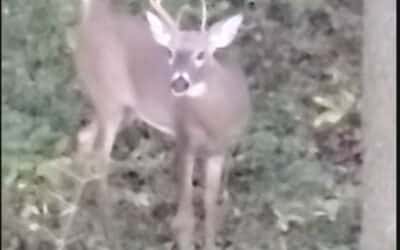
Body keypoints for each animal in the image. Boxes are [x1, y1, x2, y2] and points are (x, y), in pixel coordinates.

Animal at [74, 0, 250, 249]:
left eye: (201, 54)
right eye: (170, 52)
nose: (179, 83)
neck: (218, 120)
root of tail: (89, 21)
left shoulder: (220, 149)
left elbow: (210, 206)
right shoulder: (184, 138)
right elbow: (185, 217)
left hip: (125, 109)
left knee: (84, 135)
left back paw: (79, 204)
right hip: (108, 98)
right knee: (101, 157)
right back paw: (110, 228)